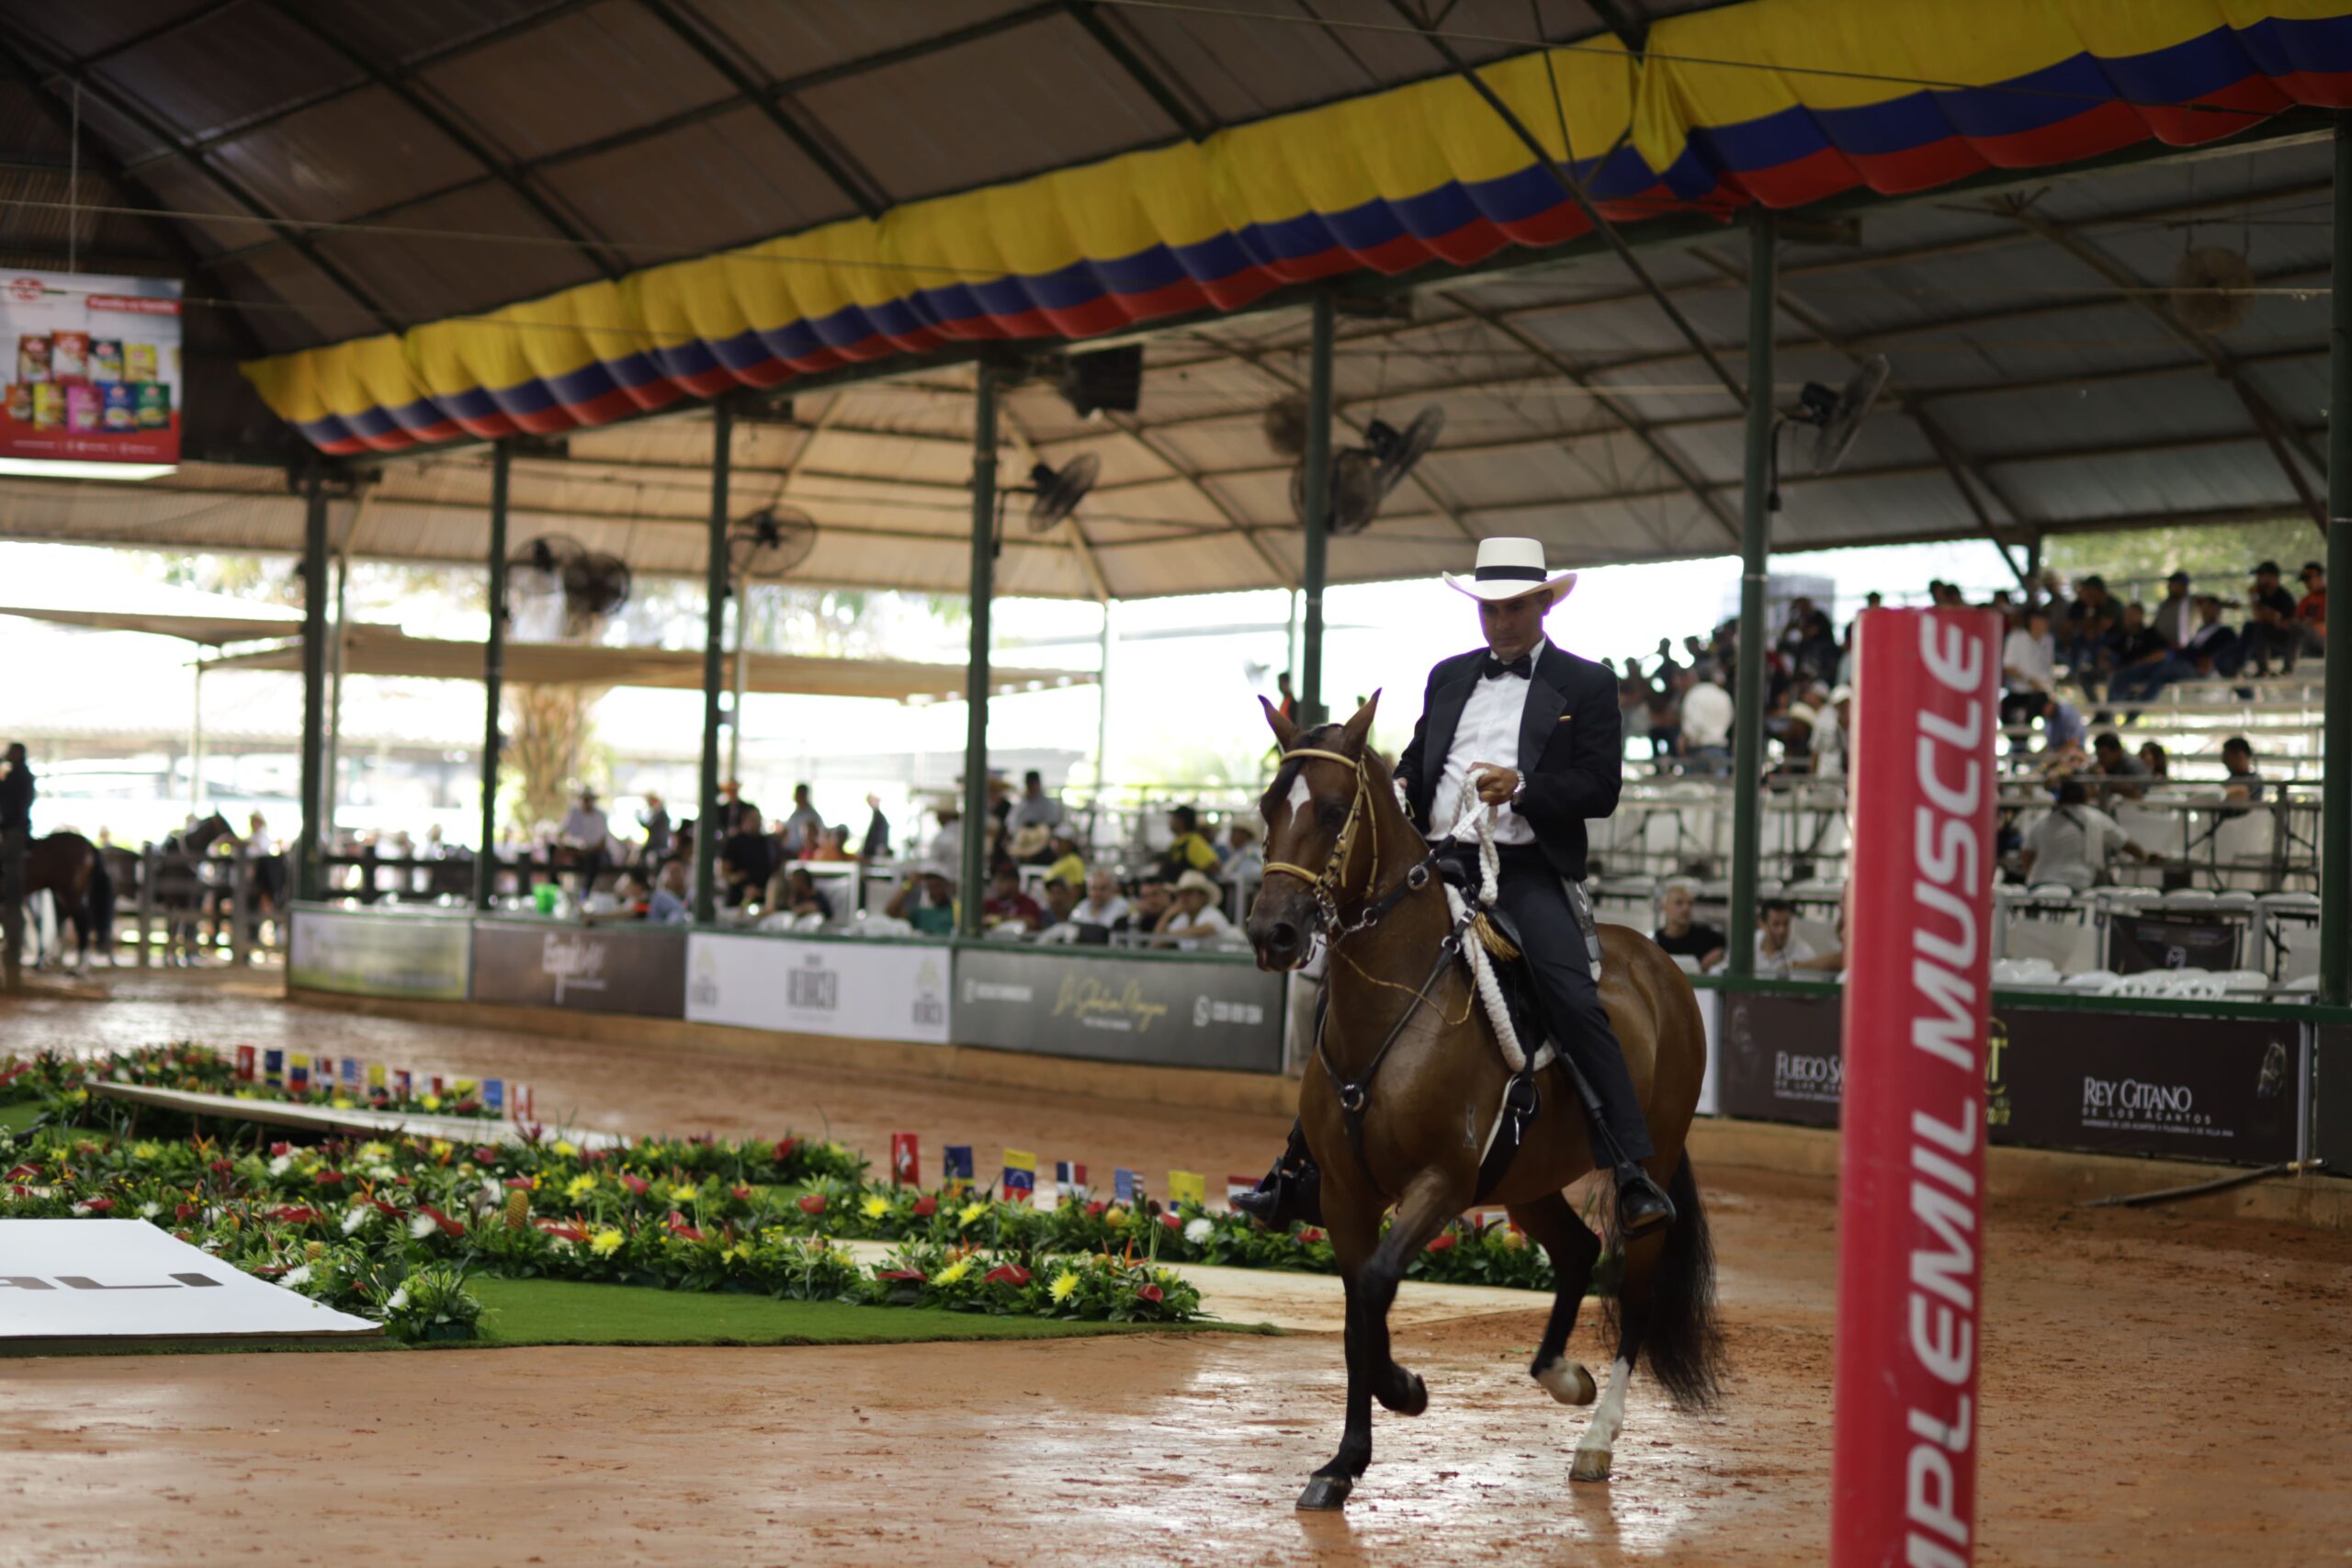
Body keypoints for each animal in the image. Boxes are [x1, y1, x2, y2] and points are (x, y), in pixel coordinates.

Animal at [1241, 695, 1721, 1504]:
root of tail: (1659, 961)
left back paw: (1597, 1440)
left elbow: (1376, 1286)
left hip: (1642, 1171)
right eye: (1270, 804)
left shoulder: (1442, 1181)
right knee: (1577, 1249)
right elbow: (1356, 1312)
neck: (1398, 1001)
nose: (1272, 931)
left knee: (1636, 1292)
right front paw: (1342, 1463)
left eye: (1335, 810)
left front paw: (1403, 1390)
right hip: (1527, 1178)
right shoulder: (1343, 1194)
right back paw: (1561, 1374)